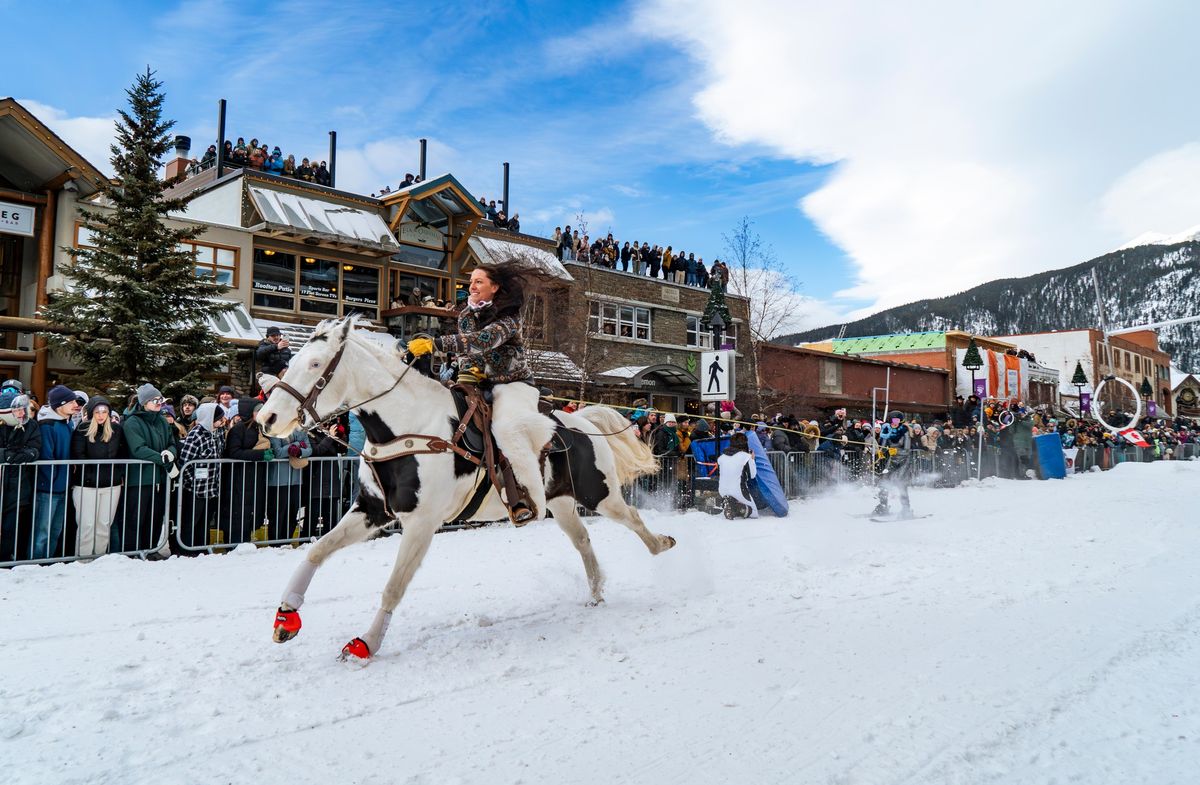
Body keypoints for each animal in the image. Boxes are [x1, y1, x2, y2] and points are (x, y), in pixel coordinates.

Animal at [258, 316, 681, 662]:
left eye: (315, 364)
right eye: (292, 361)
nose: (267, 418)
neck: (407, 425)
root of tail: (581, 421)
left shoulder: (422, 523)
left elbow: (394, 587)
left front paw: (366, 643)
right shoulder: (372, 509)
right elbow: (317, 550)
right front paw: (286, 617)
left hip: (600, 494)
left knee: (632, 518)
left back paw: (661, 545)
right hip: (560, 504)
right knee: (583, 541)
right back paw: (595, 592)